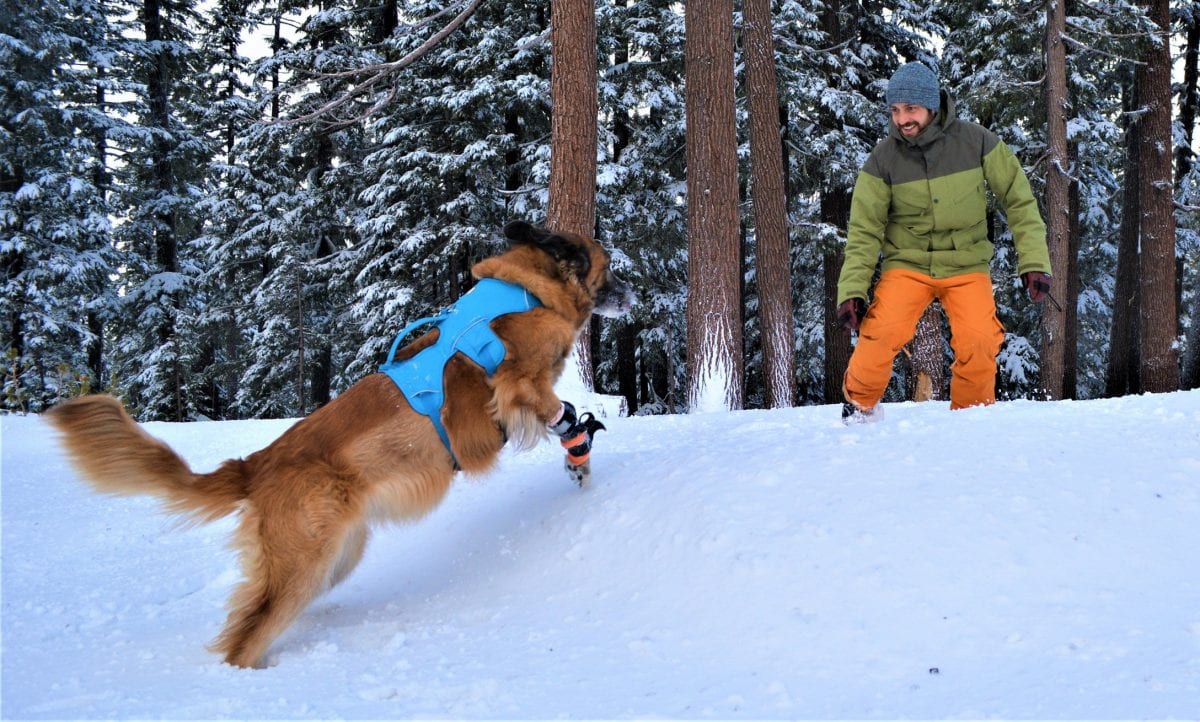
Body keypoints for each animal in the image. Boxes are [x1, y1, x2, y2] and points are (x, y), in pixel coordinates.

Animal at [44, 220, 638, 666]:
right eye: (610, 267)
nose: (635, 294)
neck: (532, 289)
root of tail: (254, 465)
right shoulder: (519, 384)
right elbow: (557, 411)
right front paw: (579, 444)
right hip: (304, 564)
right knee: (246, 636)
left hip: (336, 555)